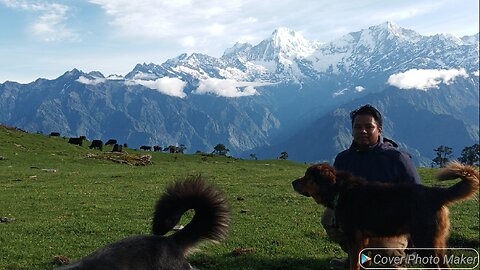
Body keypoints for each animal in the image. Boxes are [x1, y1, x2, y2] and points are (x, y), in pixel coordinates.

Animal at [290, 161, 478, 268]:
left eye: (307, 177)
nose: (292, 182)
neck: (339, 189)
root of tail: (435, 193)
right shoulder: (361, 240)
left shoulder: (354, 239)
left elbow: (354, 265)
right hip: (436, 244)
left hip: (425, 243)